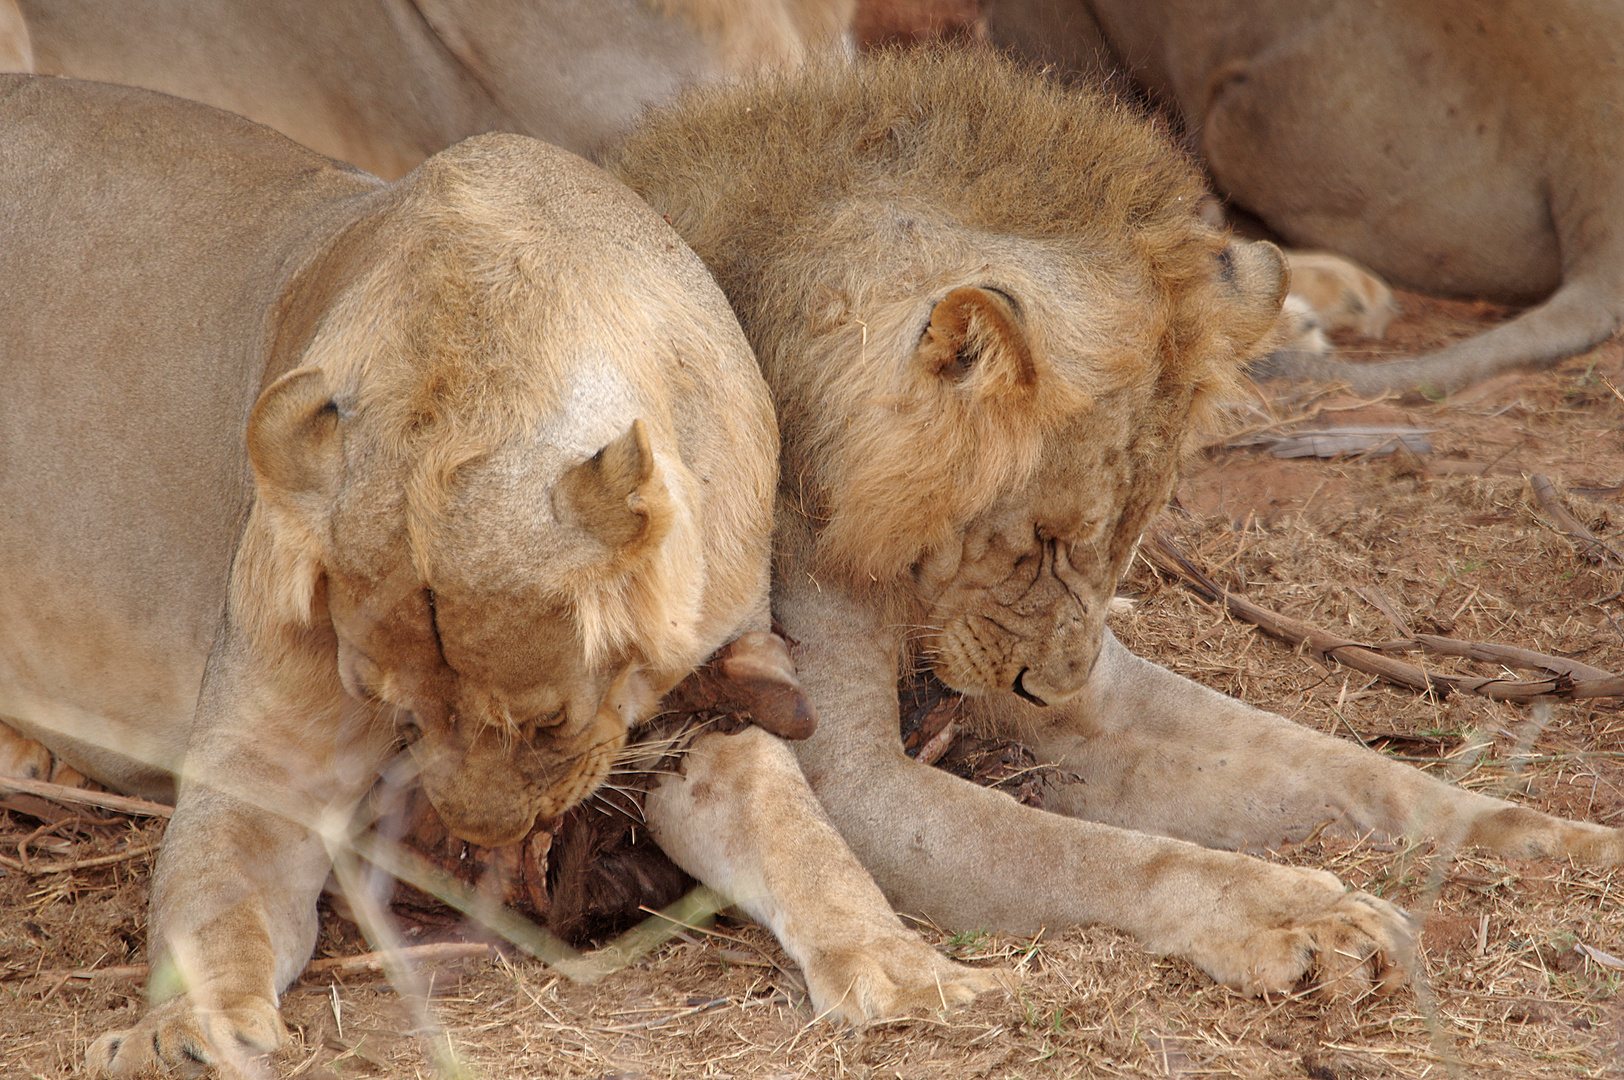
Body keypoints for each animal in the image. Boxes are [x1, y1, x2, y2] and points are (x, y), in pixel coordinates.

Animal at [0, 73, 993, 1071]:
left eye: (548, 722)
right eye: (397, 711)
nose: (484, 841)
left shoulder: (713, 698)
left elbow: (803, 843)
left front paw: (908, 970)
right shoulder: (268, 748)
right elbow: (211, 894)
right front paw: (184, 1027)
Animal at [607, 48, 1624, 993]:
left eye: (1128, 537)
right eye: (1043, 538)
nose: (1053, 687)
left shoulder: (1103, 701)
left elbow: (1352, 768)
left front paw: (1563, 837)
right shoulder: (846, 775)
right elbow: (1096, 856)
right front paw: (1297, 912)